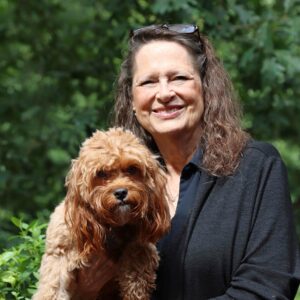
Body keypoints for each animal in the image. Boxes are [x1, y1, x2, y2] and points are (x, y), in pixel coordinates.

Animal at [33, 128, 170, 300]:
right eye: (101, 173)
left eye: (132, 169)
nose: (121, 192)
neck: (110, 226)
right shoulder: (58, 256)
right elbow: (52, 290)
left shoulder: (141, 250)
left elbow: (136, 279)